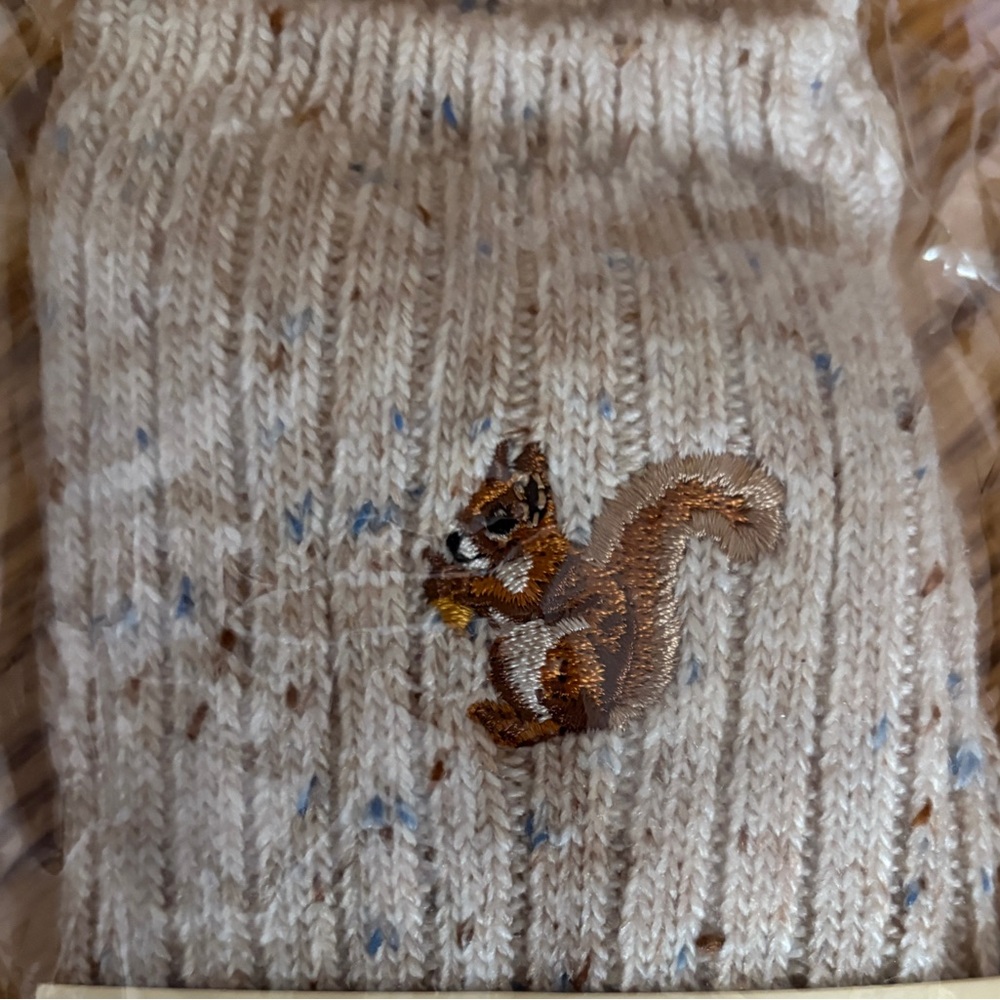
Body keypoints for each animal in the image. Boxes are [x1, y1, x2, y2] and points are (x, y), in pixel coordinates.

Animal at [423, 440, 786, 748]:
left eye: (501, 523)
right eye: (467, 506)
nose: (452, 541)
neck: (516, 558)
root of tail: (603, 712)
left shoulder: (548, 577)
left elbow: (516, 604)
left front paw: (458, 582)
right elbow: (496, 610)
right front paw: (440, 571)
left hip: (566, 661)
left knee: (558, 724)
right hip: (507, 661)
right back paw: (500, 718)